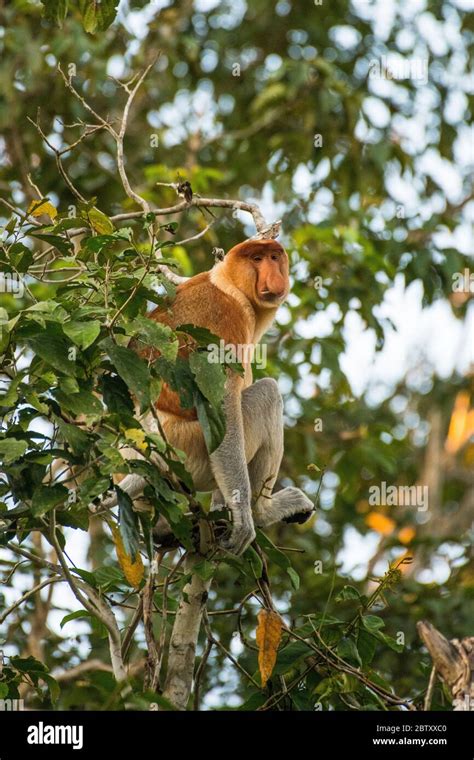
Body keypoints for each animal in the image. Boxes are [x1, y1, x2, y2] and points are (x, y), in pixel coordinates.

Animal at [105, 240, 316, 556]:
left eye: (274, 257)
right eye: (257, 259)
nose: (274, 276)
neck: (228, 283)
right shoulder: (228, 315)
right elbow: (223, 405)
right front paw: (243, 521)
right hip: (188, 450)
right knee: (267, 395)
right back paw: (262, 512)